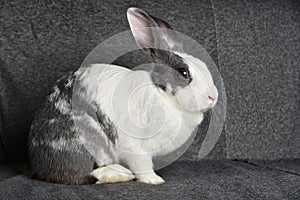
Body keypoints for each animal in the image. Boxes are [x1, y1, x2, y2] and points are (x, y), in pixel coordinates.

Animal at [28, 7, 217, 186]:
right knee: (79, 176)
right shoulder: (135, 146)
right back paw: (119, 174)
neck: (162, 95)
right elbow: (142, 164)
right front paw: (154, 180)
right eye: (183, 72)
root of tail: (38, 166)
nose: (213, 97)